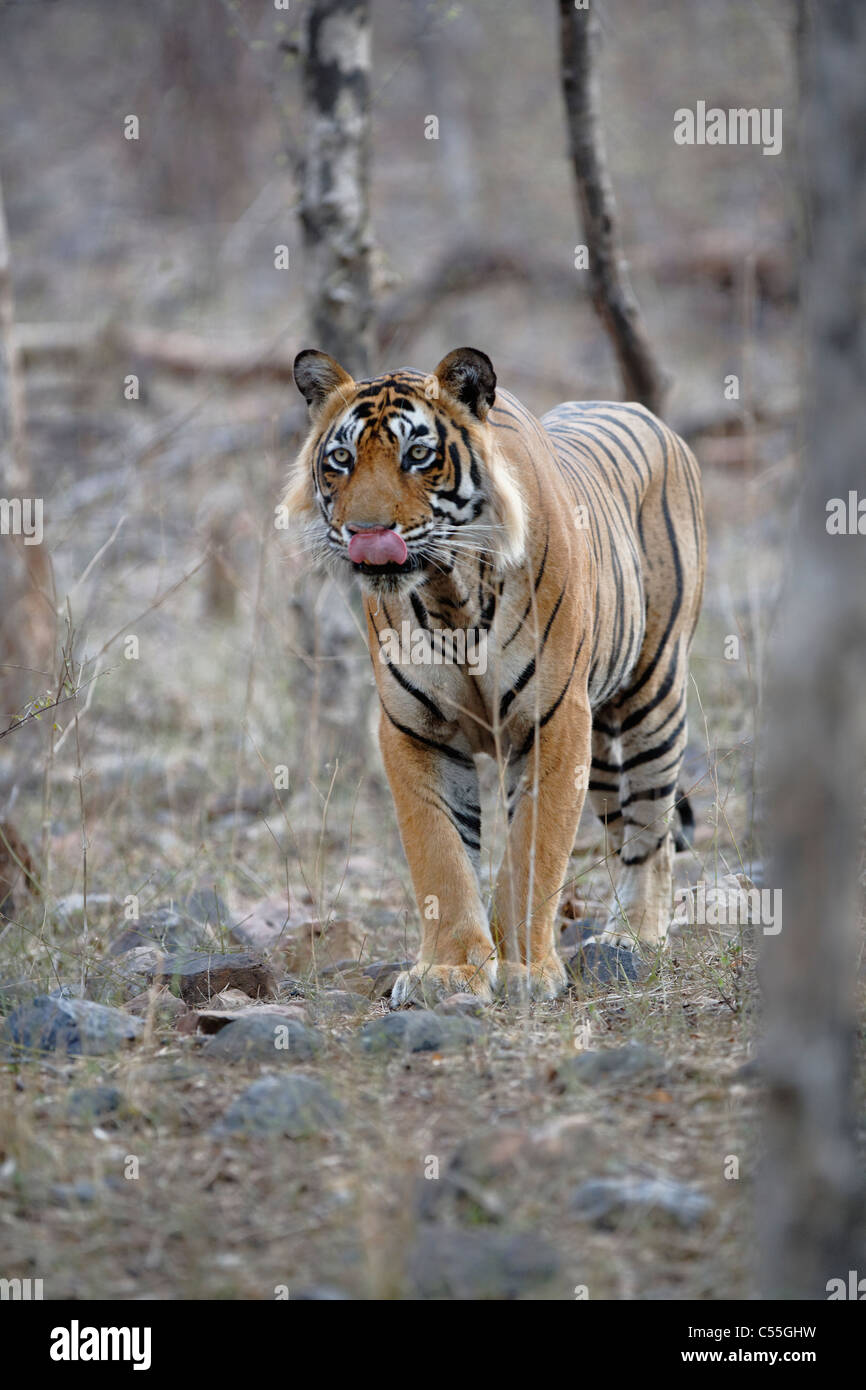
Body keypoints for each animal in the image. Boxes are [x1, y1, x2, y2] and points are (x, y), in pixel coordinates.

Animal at [284, 344, 706, 1000]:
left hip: (652, 701)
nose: (366, 534)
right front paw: (449, 972)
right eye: (342, 460)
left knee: (651, 832)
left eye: (417, 455)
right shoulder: (415, 731)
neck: (448, 593)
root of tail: (644, 414)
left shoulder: (554, 722)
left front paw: (527, 971)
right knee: (621, 827)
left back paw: (632, 936)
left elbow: (535, 850)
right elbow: (441, 856)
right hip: (601, 746)